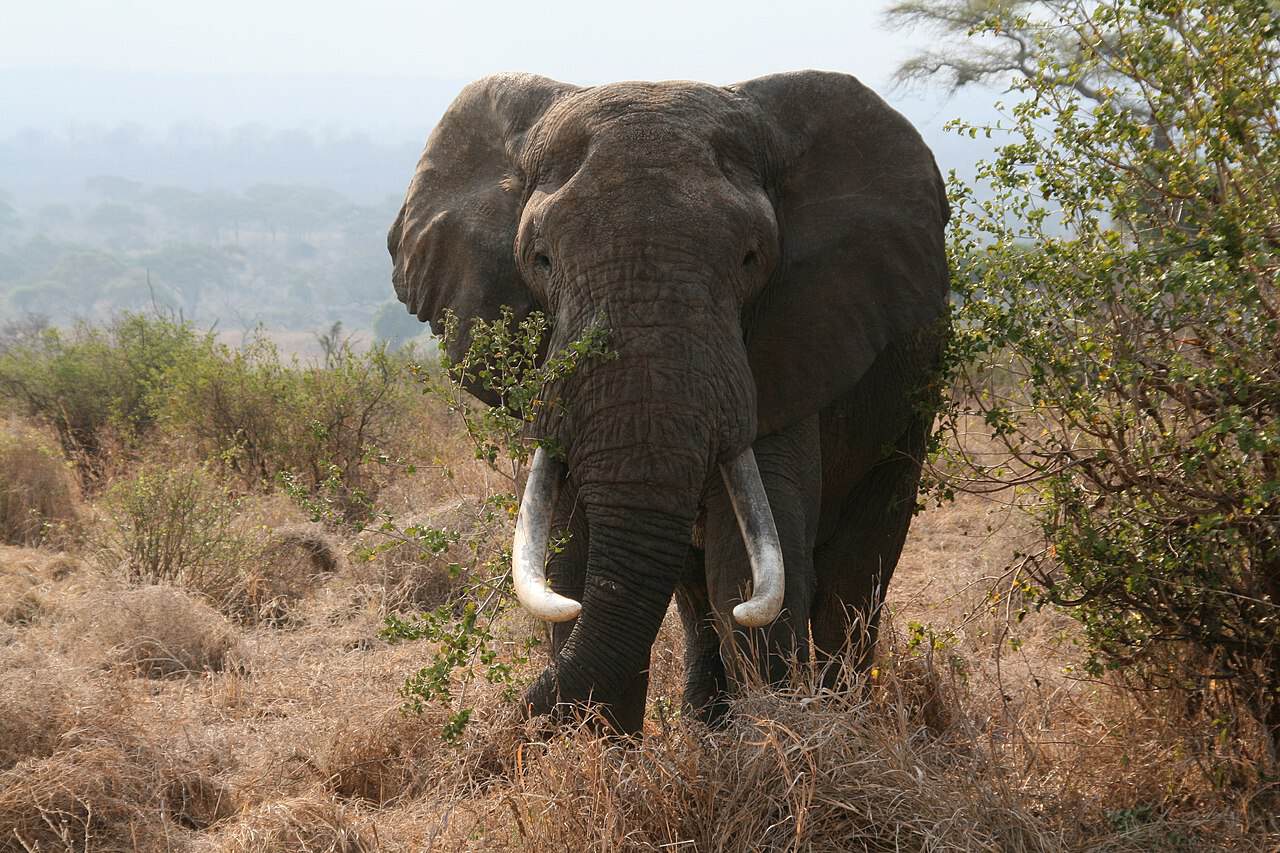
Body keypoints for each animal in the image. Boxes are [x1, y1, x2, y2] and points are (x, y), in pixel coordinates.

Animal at [388, 70, 950, 734]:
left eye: (751, 258)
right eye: (541, 259)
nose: (489, 732)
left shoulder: (791, 344)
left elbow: (746, 566)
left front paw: (778, 739)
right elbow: (570, 556)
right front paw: (605, 752)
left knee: (856, 569)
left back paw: (846, 713)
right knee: (691, 589)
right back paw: (709, 727)